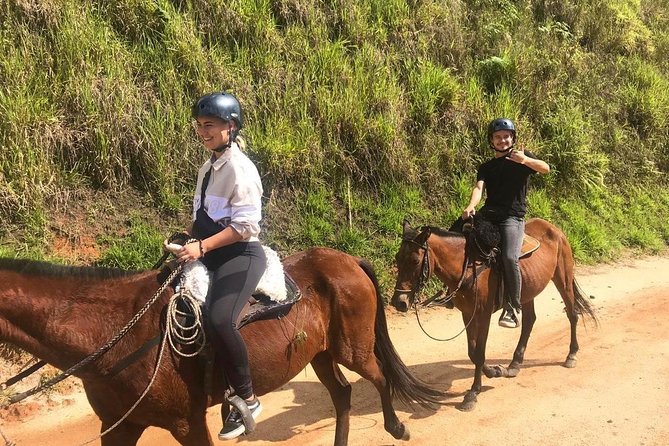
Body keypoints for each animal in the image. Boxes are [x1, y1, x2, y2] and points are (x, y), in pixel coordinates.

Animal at [0, 247, 440, 446]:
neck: (113, 335)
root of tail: (346, 259)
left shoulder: (187, 422)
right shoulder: (118, 426)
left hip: (353, 349)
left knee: (378, 377)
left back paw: (397, 426)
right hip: (320, 354)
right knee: (343, 394)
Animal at [392, 220, 596, 412]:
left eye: (415, 261)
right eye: (397, 258)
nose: (398, 302)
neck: (469, 267)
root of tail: (554, 229)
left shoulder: (483, 315)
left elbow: (479, 353)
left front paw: (473, 393)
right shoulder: (467, 314)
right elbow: (473, 352)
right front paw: (493, 372)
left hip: (563, 279)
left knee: (572, 314)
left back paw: (571, 355)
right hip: (527, 291)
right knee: (529, 321)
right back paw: (514, 364)